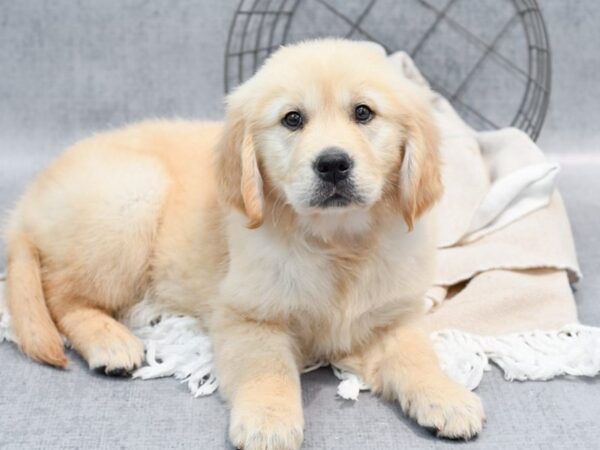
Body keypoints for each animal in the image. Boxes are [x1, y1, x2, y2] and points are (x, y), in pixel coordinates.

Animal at [5, 40, 482, 448]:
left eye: (364, 113)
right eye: (293, 119)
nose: (332, 164)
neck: (335, 242)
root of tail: (28, 201)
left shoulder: (390, 316)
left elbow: (416, 355)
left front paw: (446, 396)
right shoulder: (248, 315)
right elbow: (267, 369)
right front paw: (268, 420)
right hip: (133, 197)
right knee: (62, 295)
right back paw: (110, 341)